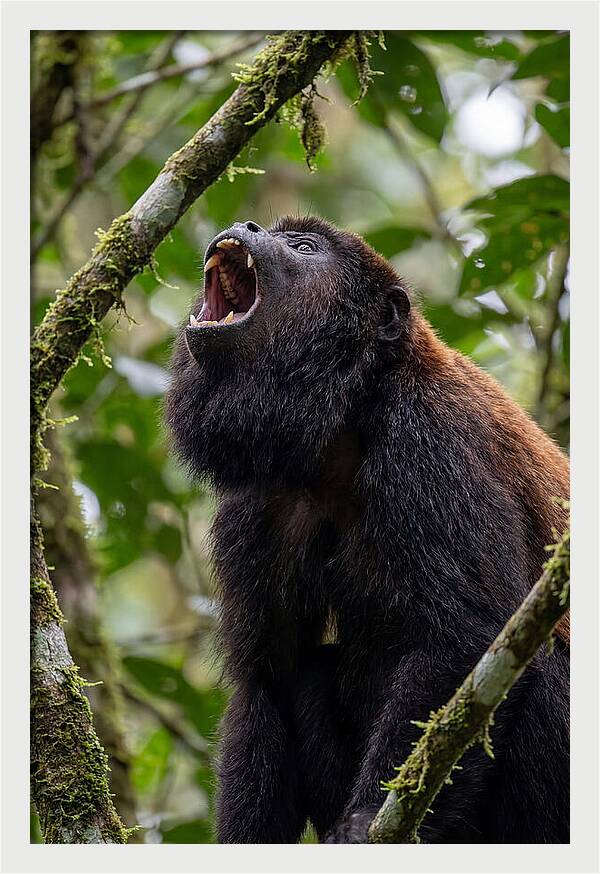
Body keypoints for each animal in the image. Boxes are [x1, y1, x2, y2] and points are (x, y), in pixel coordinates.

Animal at [165, 216, 569, 844]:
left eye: (303, 248)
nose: (247, 224)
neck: (347, 422)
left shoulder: (429, 441)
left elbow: (466, 637)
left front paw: (361, 823)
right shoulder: (258, 502)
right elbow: (267, 680)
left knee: (544, 664)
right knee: (307, 672)